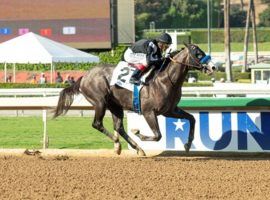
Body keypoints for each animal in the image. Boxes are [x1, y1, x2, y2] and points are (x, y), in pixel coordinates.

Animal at [53, 43, 215, 156]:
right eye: (198, 54)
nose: (213, 67)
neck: (165, 80)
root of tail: (85, 76)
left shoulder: (170, 110)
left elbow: (192, 119)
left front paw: (188, 144)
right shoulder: (149, 112)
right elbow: (158, 135)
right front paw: (138, 133)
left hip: (115, 105)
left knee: (119, 127)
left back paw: (135, 148)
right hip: (100, 102)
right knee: (97, 124)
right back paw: (118, 144)